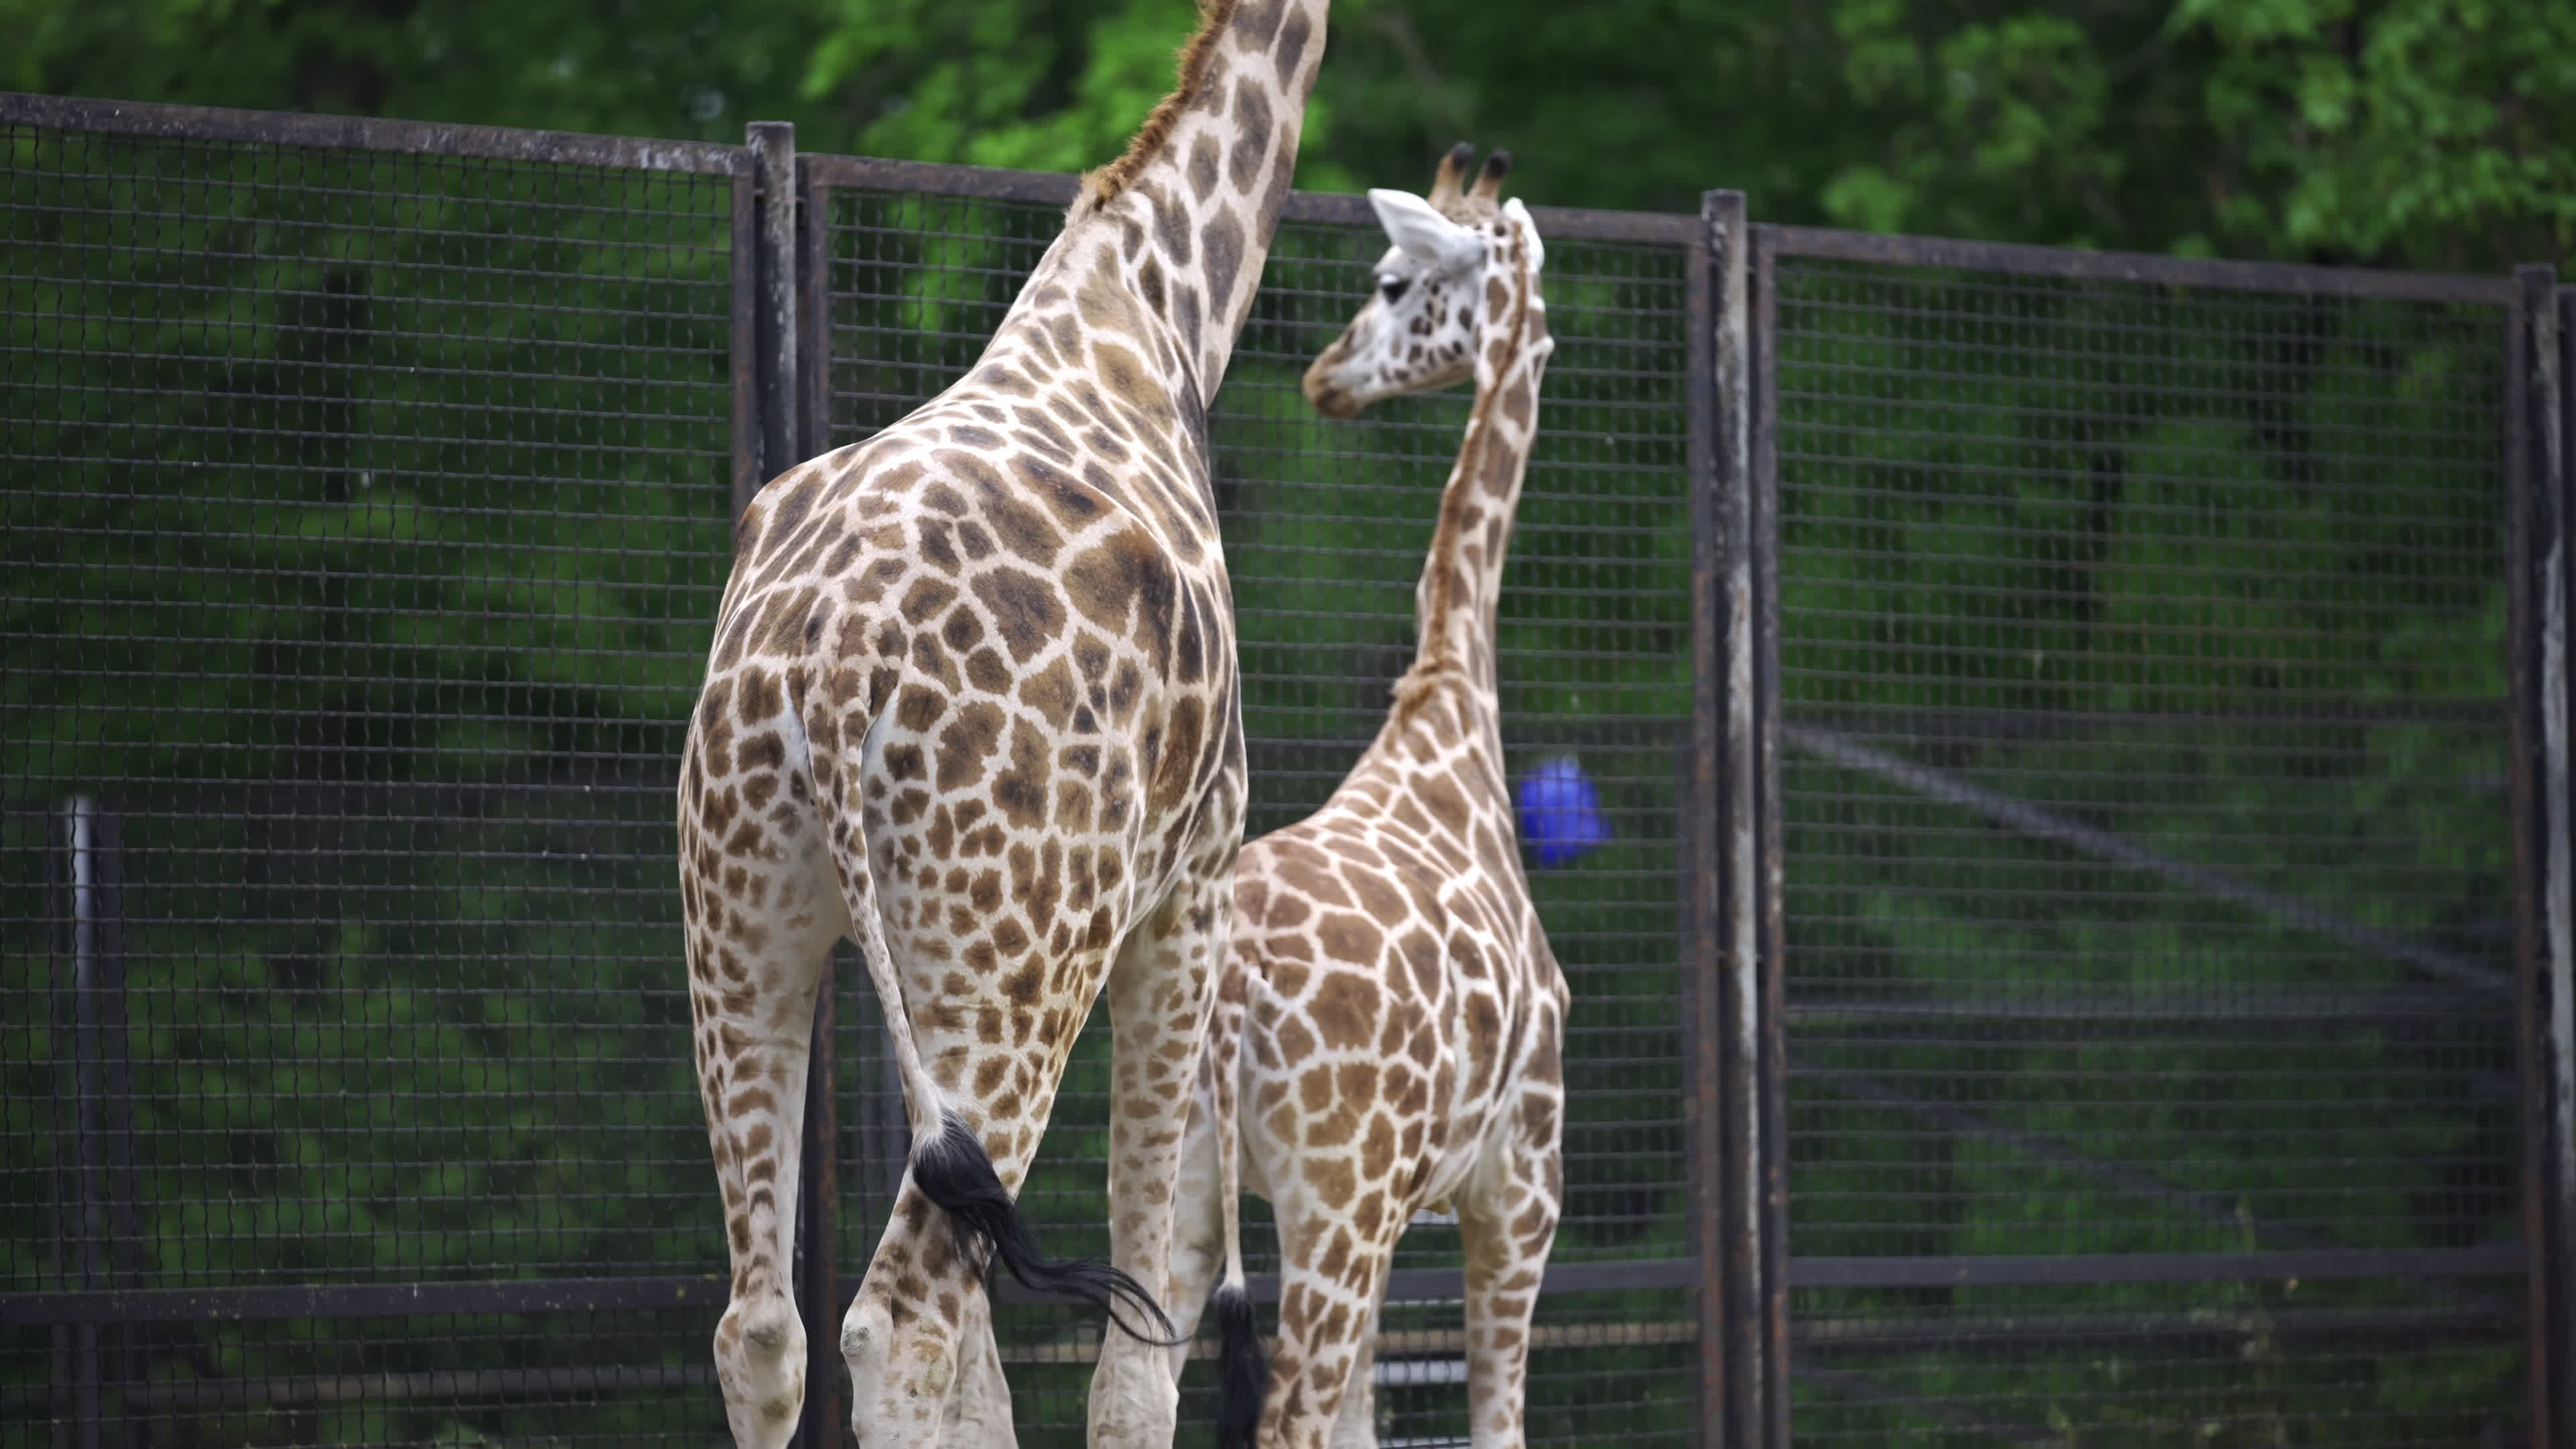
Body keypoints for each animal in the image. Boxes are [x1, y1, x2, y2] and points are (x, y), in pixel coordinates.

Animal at [675, 2, 1328, 1445]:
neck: (1151, 309)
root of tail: (832, 664)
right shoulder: (1189, 889)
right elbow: (1138, 1358)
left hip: (747, 916)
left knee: (764, 1327)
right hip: (1029, 946)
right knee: (899, 1320)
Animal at [1163, 147, 1567, 1449]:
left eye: (1391, 282)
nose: (1326, 376)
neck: (1451, 711)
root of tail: (1234, 988)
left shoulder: (1405, 1211)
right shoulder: (1516, 1185)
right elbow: (1495, 1426)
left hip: (1190, 1178)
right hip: (1336, 1195)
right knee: (1284, 1413)